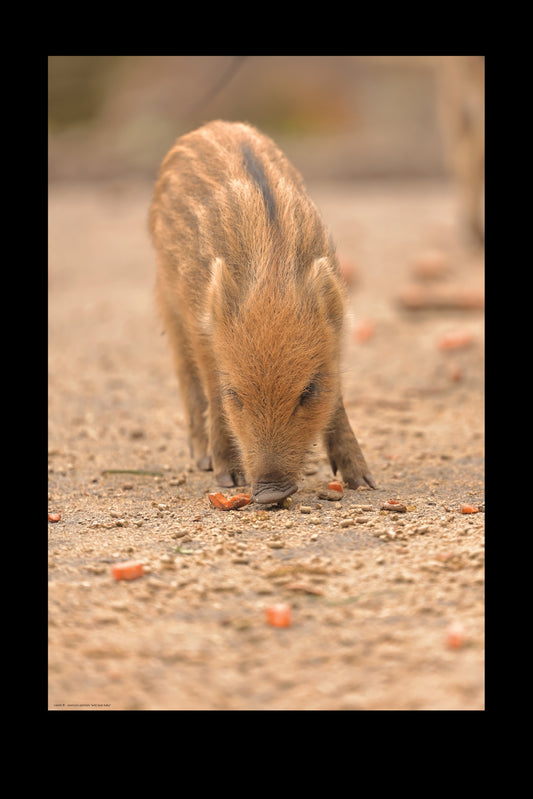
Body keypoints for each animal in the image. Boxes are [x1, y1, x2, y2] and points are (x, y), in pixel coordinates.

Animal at [149, 120, 376, 504]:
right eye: (235, 395)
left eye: (308, 391)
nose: (270, 493)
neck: (272, 278)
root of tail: (211, 125)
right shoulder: (201, 328)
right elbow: (212, 391)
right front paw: (228, 479)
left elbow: (338, 400)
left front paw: (365, 481)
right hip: (168, 300)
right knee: (186, 376)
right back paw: (202, 459)